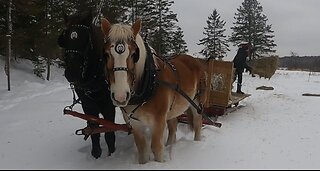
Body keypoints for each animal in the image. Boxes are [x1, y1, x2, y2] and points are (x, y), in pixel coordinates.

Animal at [58, 10, 117, 158]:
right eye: (64, 39)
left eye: (86, 40)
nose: (71, 73)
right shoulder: (87, 104)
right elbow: (93, 129)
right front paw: (96, 153)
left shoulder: (109, 104)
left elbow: (109, 131)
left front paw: (112, 153)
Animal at [101, 18, 209, 164]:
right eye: (106, 54)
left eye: (134, 54)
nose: (120, 96)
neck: (149, 83)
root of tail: (195, 61)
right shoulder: (135, 124)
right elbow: (142, 149)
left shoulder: (158, 122)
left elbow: (156, 147)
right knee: (173, 125)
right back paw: (170, 145)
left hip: (196, 102)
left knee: (197, 123)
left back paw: (196, 143)